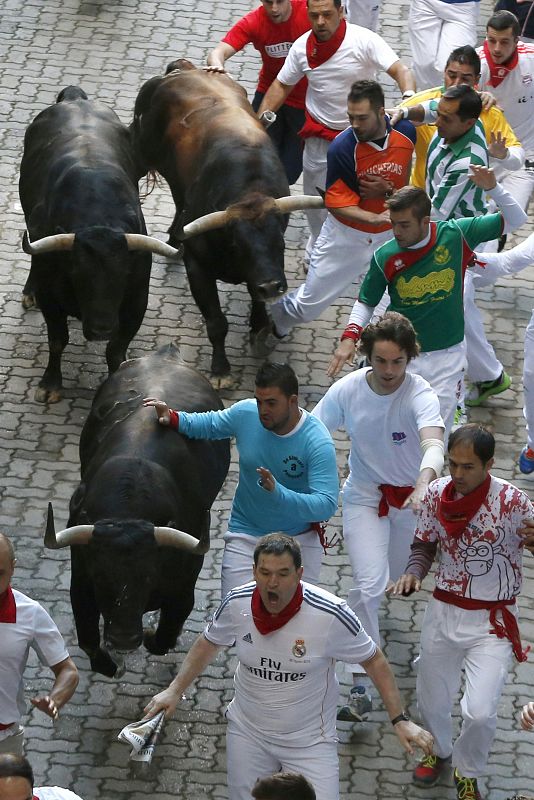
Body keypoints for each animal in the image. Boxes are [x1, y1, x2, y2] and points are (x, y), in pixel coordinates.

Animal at [44, 346, 230, 680]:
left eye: (148, 576)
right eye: (102, 576)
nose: (124, 639)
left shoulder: (184, 587)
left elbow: (166, 635)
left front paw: (149, 636)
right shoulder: (81, 582)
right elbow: (88, 638)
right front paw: (109, 664)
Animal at [129, 61, 294, 386]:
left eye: (280, 242)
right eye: (238, 245)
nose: (272, 286)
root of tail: (185, 68)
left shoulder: (258, 274)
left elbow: (257, 303)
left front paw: (258, 329)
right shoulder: (198, 267)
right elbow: (217, 321)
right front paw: (221, 370)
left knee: (179, 201)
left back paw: (174, 238)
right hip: (141, 150)